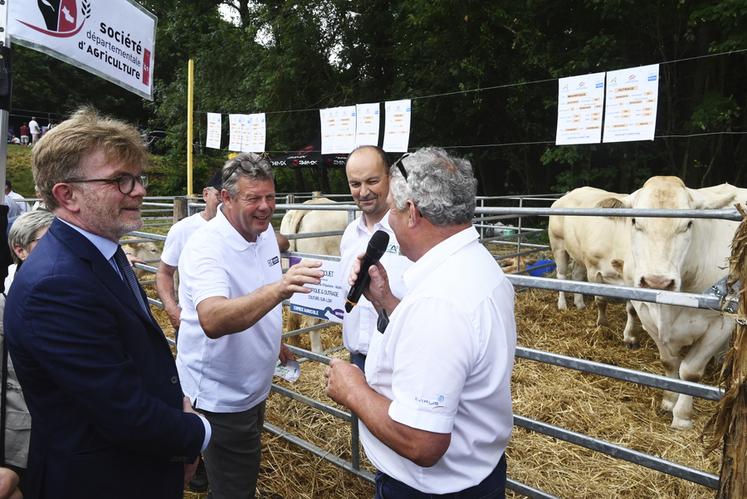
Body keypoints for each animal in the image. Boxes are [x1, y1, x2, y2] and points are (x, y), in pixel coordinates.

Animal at [548, 188, 644, 348]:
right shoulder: (594, 269)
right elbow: (600, 299)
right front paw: (602, 325)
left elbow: (632, 309)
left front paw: (630, 338)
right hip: (558, 245)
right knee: (561, 275)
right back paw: (562, 305)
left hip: (579, 255)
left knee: (576, 275)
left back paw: (580, 303)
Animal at [616, 177, 744, 430]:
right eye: (635, 221)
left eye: (688, 224)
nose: (657, 281)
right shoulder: (646, 314)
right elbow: (668, 363)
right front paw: (668, 400)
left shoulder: (722, 323)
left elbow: (690, 372)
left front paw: (682, 416)